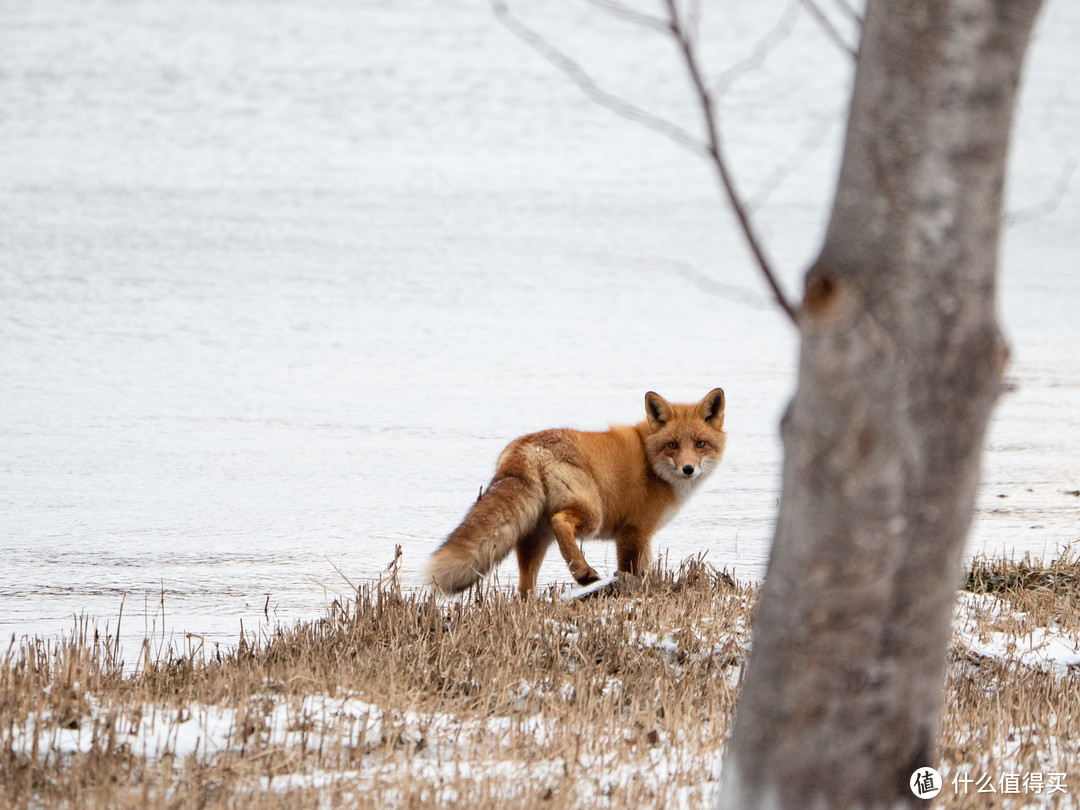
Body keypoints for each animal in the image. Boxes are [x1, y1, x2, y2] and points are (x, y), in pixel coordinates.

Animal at [429, 390, 725, 600]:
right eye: (672, 445)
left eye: (700, 444)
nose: (688, 469)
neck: (651, 463)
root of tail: (525, 449)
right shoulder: (634, 532)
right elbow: (632, 570)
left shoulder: (641, 537)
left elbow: (645, 570)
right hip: (592, 514)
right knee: (561, 522)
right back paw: (584, 573)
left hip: (534, 537)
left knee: (525, 587)